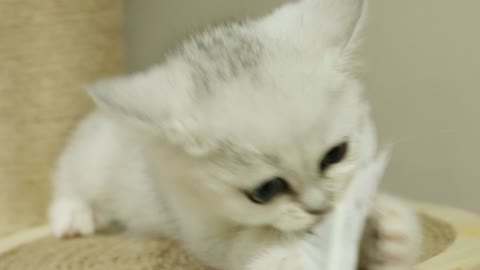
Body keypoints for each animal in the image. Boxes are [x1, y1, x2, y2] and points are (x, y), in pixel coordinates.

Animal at [47, 0, 420, 270]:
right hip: (95, 154)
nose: (320, 208)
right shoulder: (199, 231)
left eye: (335, 154)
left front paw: (394, 233)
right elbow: (253, 241)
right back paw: (73, 215)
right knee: (70, 171)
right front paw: (291, 256)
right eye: (265, 191)